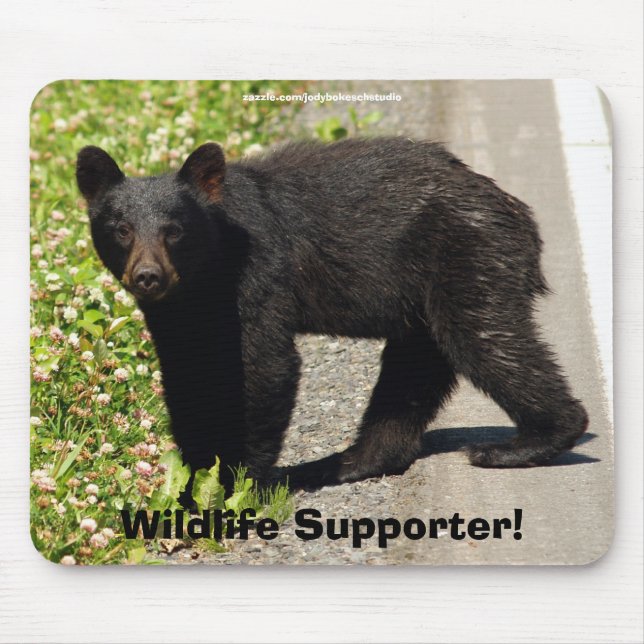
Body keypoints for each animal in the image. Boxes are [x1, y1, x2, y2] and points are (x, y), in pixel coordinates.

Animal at [75, 137, 588, 495]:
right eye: (121, 228)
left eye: (175, 230)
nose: (148, 276)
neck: (206, 276)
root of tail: (520, 214)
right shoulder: (178, 311)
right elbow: (187, 378)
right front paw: (191, 480)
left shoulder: (255, 276)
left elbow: (265, 367)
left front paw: (238, 484)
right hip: (425, 299)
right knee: (412, 373)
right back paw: (343, 463)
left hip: (470, 258)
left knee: (488, 341)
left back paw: (524, 443)